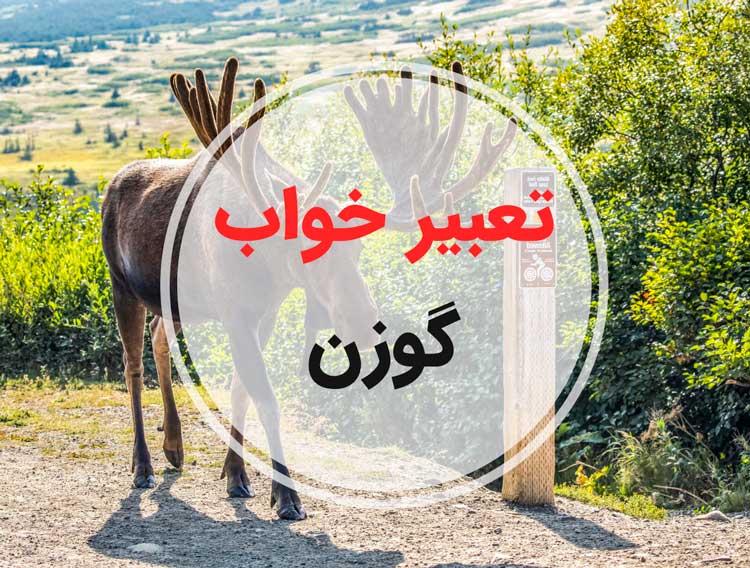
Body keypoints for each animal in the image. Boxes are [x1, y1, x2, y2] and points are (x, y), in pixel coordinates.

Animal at [101, 57, 516, 520]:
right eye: (305, 247)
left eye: (359, 246)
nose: (363, 321)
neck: (266, 266)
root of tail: (110, 186)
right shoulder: (235, 313)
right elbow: (266, 399)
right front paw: (286, 496)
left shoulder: (265, 313)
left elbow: (240, 390)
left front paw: (236, 474)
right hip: (121, 283)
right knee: (131, 364)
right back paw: (142, 465)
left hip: (172, 301)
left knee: (159, 339)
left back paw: (174, 447)